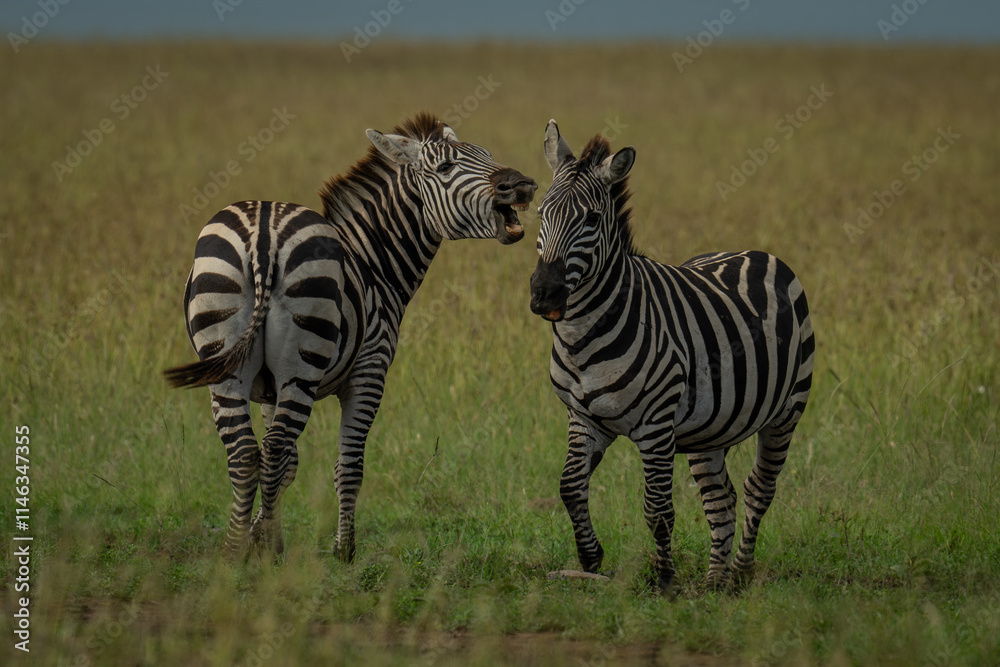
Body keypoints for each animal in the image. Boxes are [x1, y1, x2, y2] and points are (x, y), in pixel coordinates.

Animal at [164, 113, 537, 559]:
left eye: (488, 155)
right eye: (446, 168)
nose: (521, 184)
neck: (375, 262)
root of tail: (264, 234)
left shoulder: (269, 388)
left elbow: (287, 464)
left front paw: (261, 535)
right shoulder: (370, 371)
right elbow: (348, 465)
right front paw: (342, 551)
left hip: (225, 363)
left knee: (246, 454)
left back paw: (232, 552)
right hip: (302, 367)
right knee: (273, 450)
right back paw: (266, 553)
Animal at [528, 120, 814, 593]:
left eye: (590, 219)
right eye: (540, 213)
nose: (544, 295)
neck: (582, 338)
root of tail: (753, 251)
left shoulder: (656, 424)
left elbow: (658, 508)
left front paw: (664, 580)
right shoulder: (584, 418)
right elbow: (570, 486)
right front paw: (591, 558)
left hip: (787, 410)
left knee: (759, 489)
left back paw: (740, 572)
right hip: (709, 428)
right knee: (721, 497)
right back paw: (715, 579)